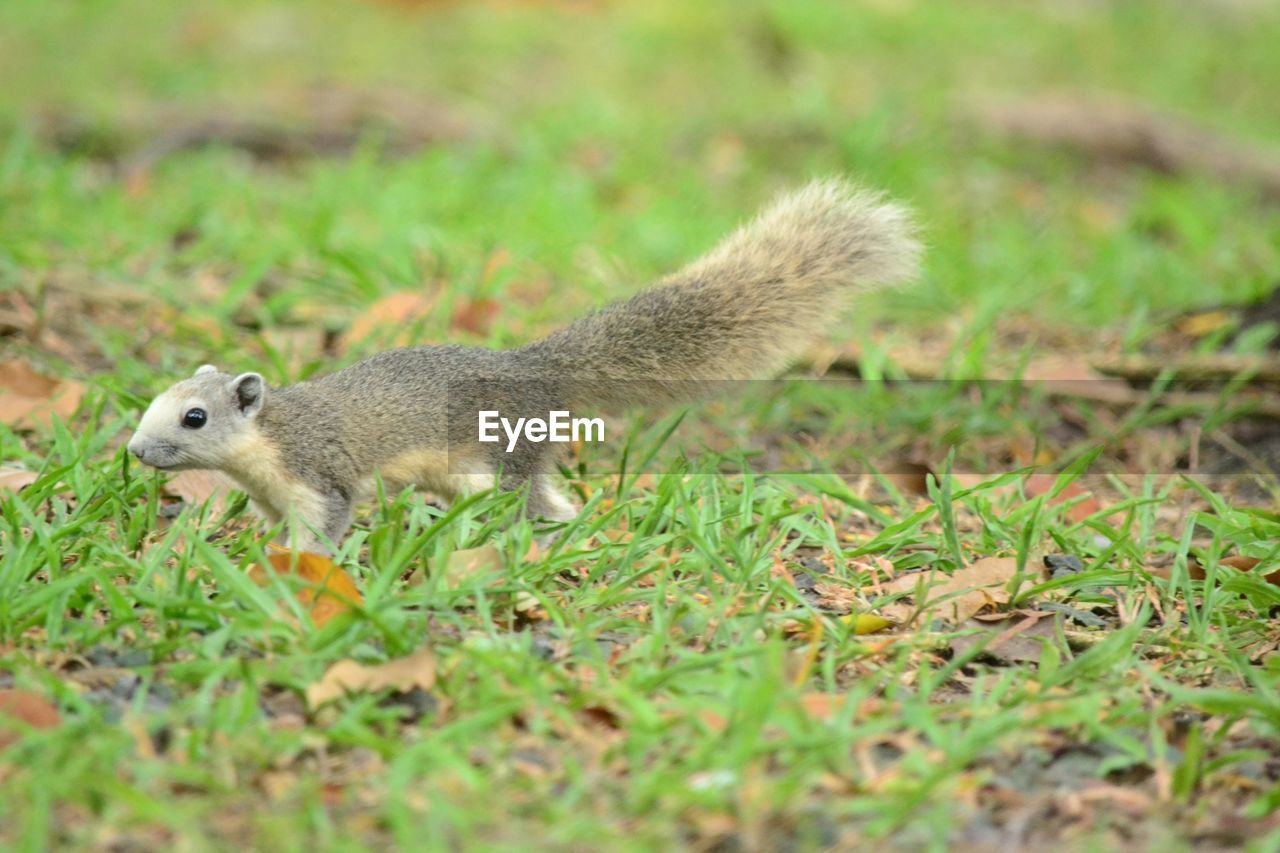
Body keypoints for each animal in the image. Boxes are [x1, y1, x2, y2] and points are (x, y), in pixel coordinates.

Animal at [127, 180, 921, 550]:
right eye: (153, 401)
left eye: (194, 416)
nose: (135, 450)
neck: (265, 449)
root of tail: (533, 370)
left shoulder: (321, 475)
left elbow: (326, 523)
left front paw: (294, 569)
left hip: (497, 461)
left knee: (537, 501)